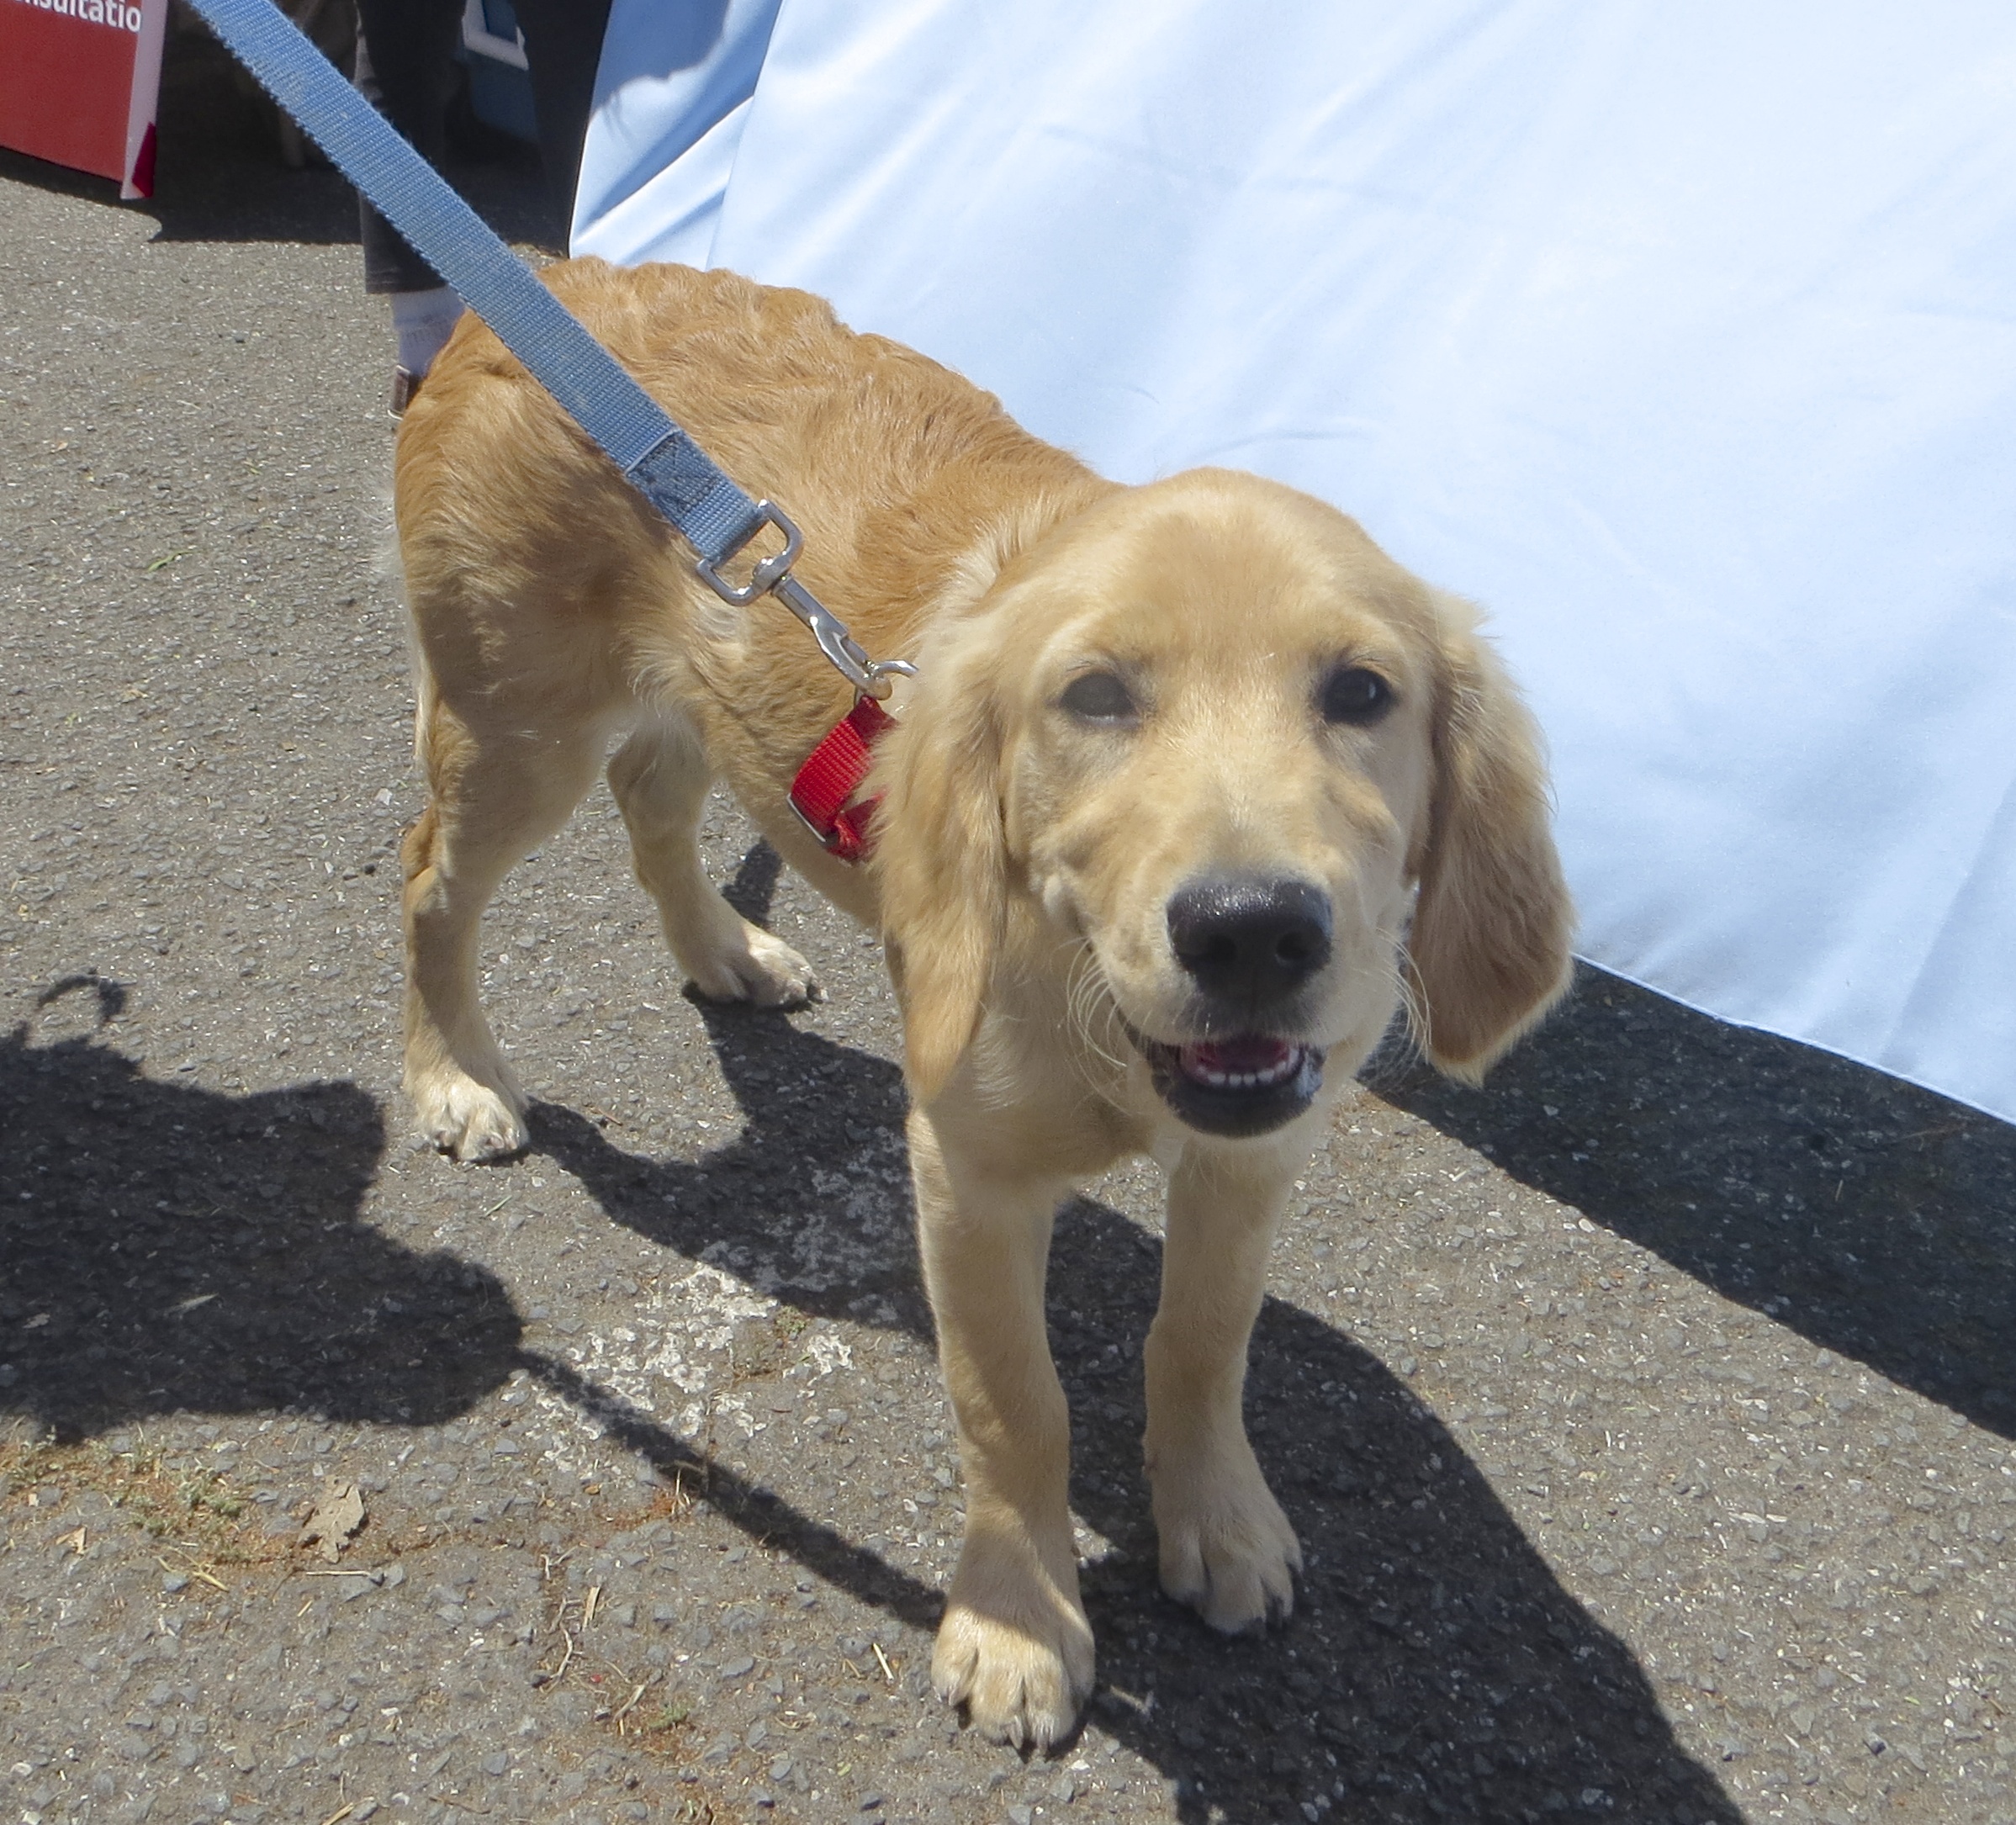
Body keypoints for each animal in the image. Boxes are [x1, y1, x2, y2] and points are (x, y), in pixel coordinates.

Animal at [397, 260, 1572, 1750]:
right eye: (1094, 695)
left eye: (1361, 691)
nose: (1251, 930)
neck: (1092, 1005)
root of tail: (560, 275)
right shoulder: (965, 1167)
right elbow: (1014, 1403)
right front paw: (1018, 1621)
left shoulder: (1251, 1157)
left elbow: (1202, 1342)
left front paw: (1218, 1517)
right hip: (516, 727)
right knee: (431, 883)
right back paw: (456, 1074)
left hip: (679, 693)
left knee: (654, 798)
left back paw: (726, 950)